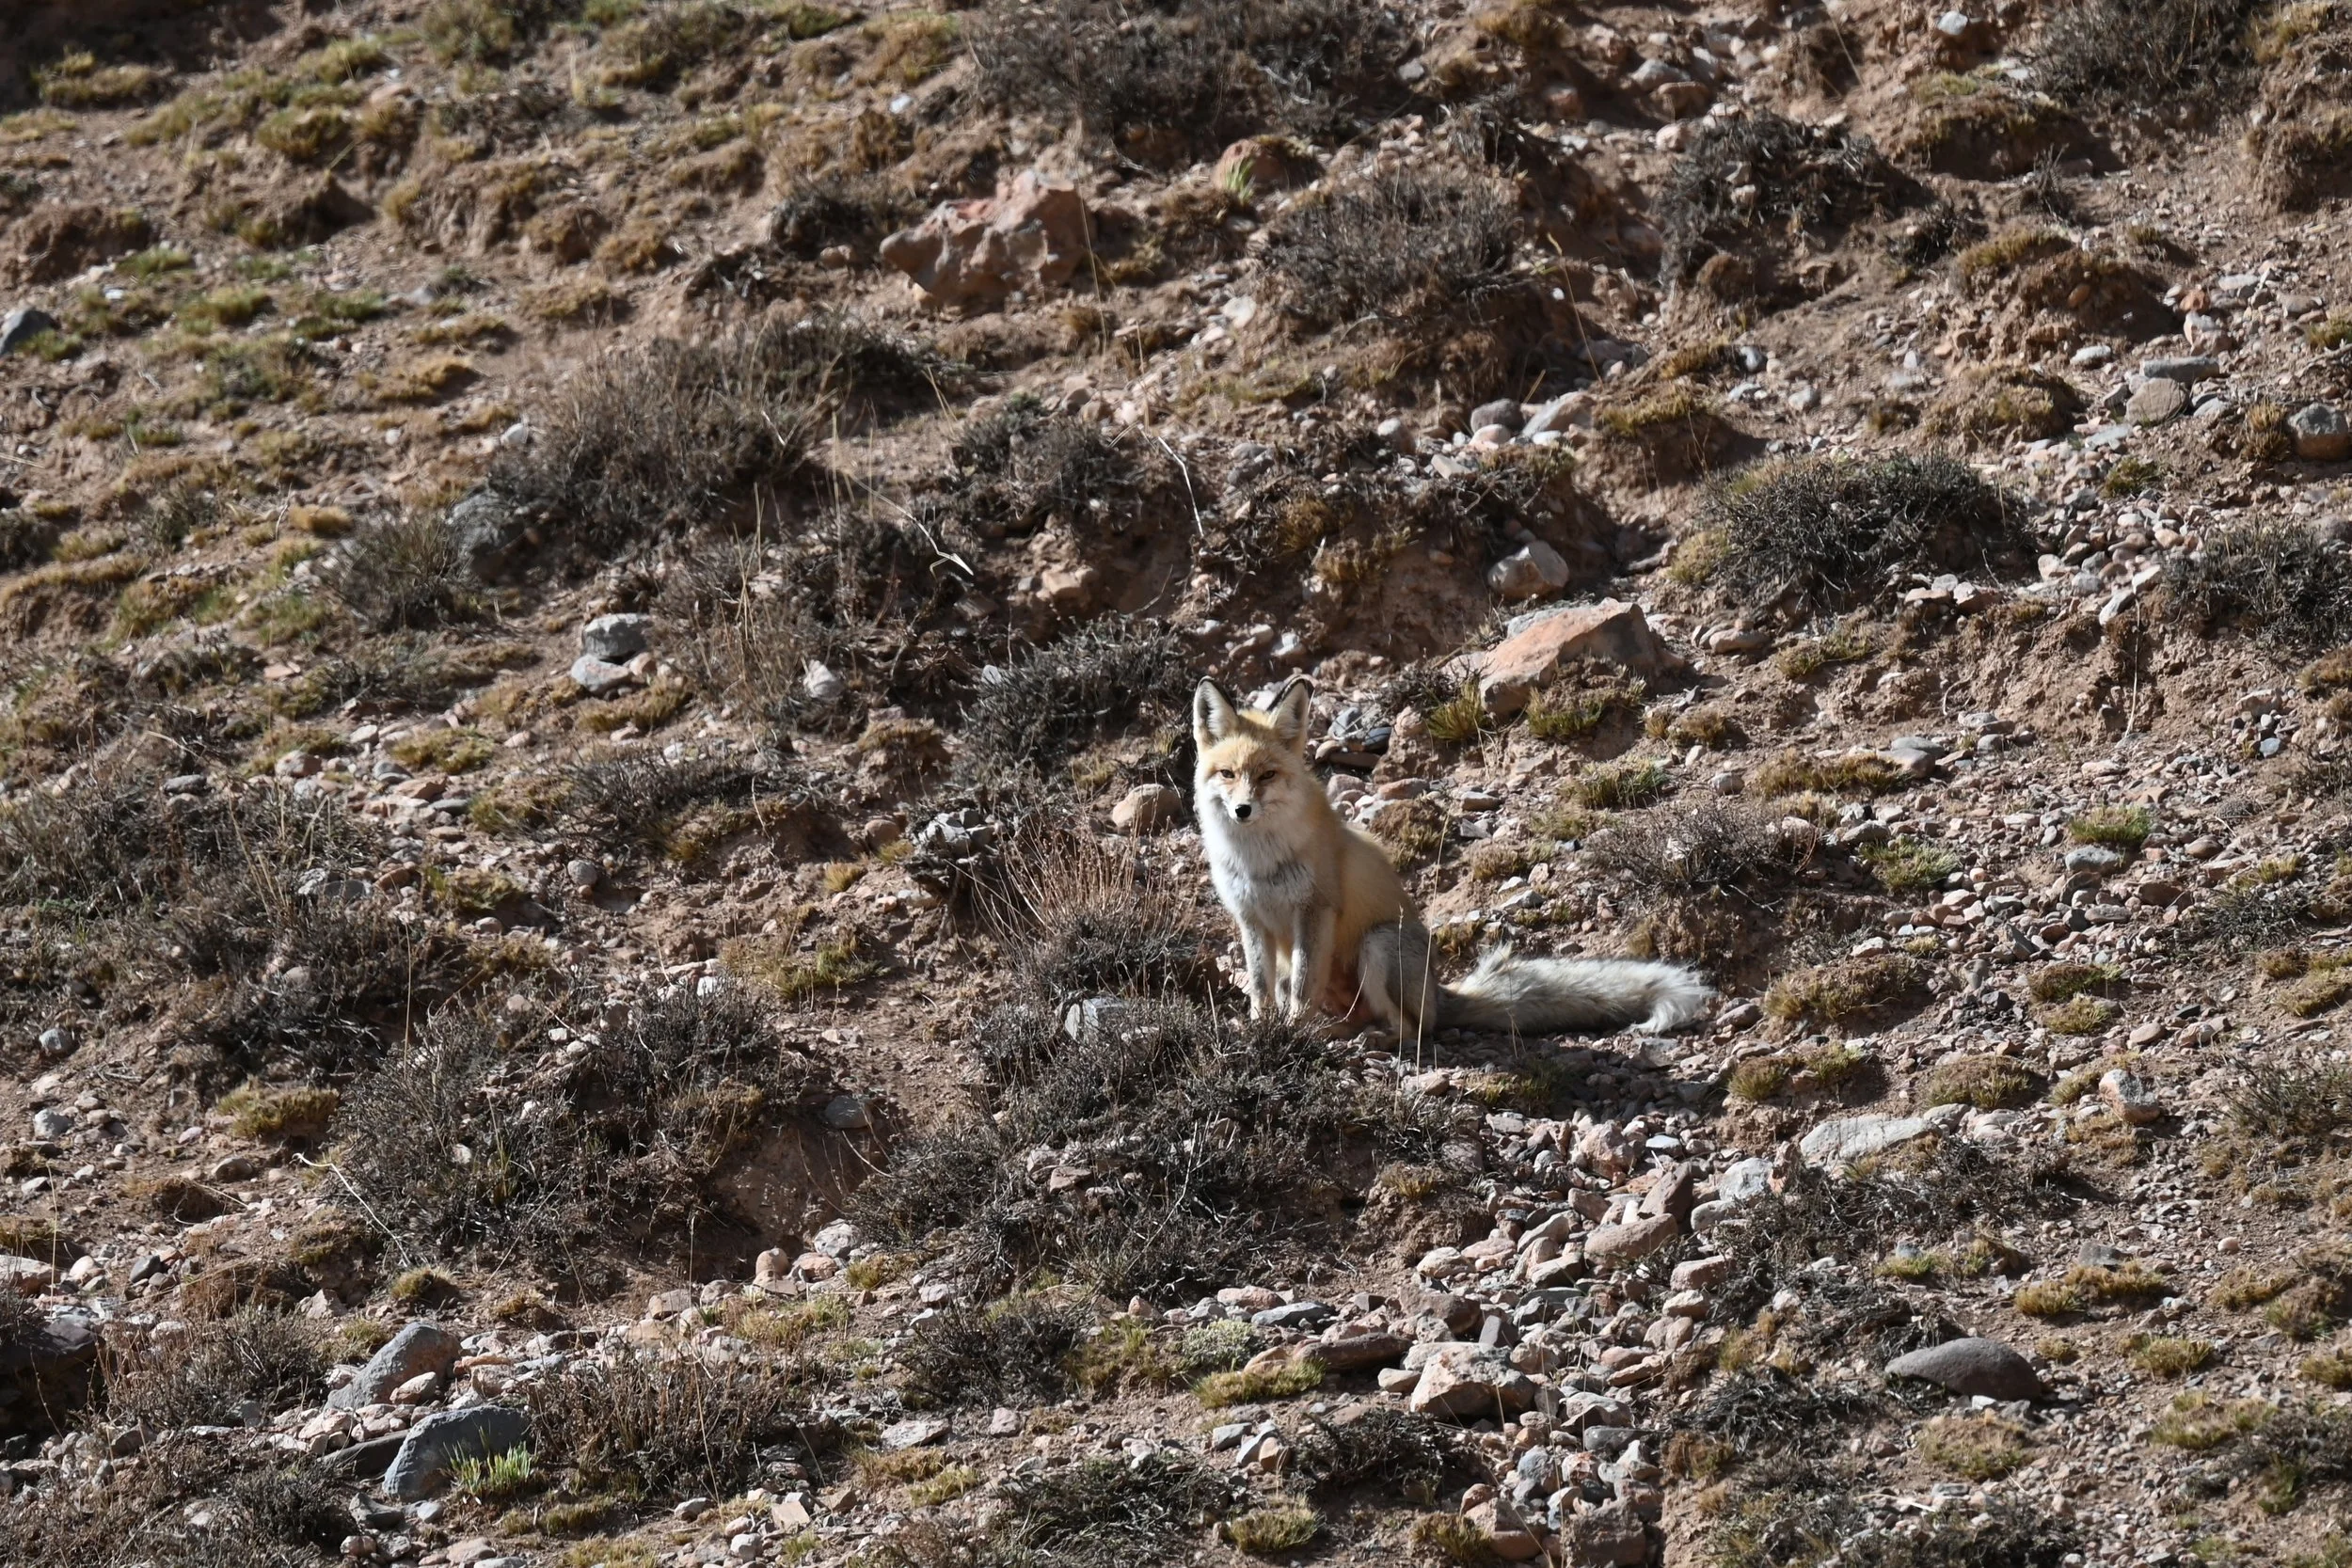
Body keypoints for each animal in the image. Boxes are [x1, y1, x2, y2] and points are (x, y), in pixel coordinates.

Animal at [1191, 676, 1712, 1039]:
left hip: (1379, 945)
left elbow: (1303, 986)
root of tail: (1441, 995)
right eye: (1228, 774)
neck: (1259, 860)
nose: (1242, 810)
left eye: (1266, 776)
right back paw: (1339, 1031)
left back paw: (1369, 1038)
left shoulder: (1315, 909)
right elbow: (1261, 987)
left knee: (1415, 1030)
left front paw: (1293, 1033)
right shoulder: (1251, 918)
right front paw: (1263, 1028)